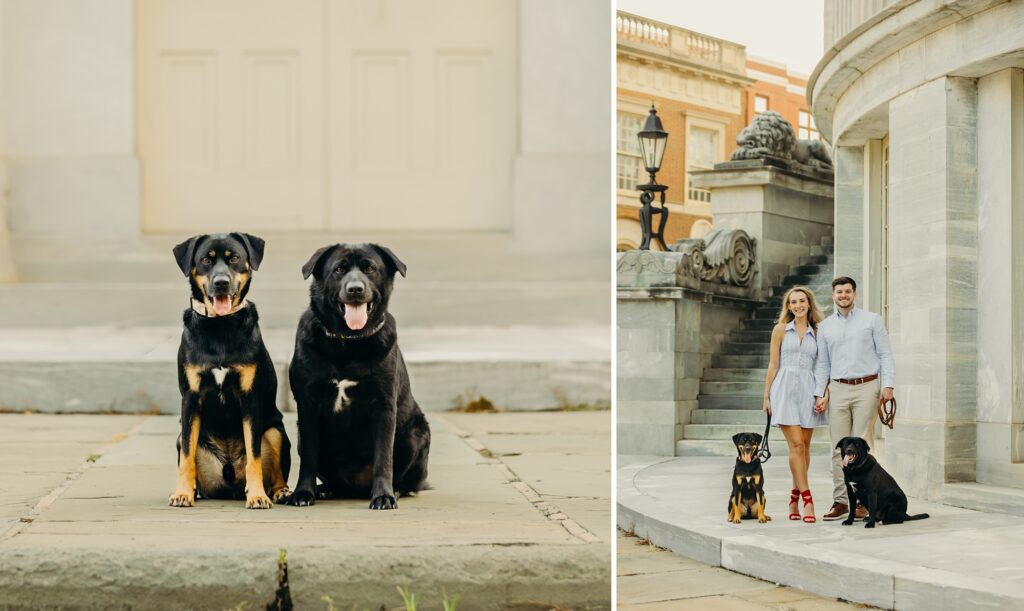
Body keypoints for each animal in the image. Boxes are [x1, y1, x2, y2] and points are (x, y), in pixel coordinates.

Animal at [165, 231, 290, 507]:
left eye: (234, 258)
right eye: (205, 260)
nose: (221, 282)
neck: (220, 327)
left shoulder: (250, 399)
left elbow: (254, 456)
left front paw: (257, 495)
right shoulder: (191, 399)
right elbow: (187, 456)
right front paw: (182, 493)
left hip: (275, 431)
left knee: (274, 467)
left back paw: (280, 491)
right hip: (183, 438)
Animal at [286, 240, 430, 507]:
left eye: (370, 268)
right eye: (339, 269)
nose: (355, 289)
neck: (347, 342)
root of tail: (355, 488)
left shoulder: (384, 406)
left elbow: (383, 457)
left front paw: (383, 496)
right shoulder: (308, 405)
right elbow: (309, 459)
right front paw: (302, 493)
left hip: (415, 434)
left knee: (408, 482)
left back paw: (395, 490)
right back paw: (326, 489)